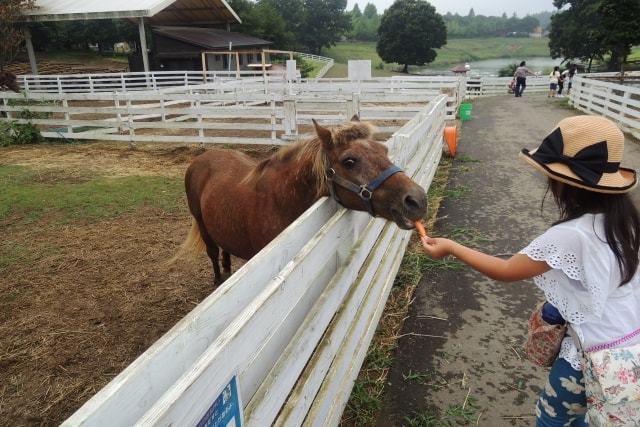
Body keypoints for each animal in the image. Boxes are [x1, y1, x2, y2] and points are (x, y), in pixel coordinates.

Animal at [176, 115, 424, 286]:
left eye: (383, 149)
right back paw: (219, 280)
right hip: (202, 224)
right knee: (213, 252)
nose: (418, 199)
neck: (278, 201)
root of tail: (202, 158)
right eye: (349, 161)